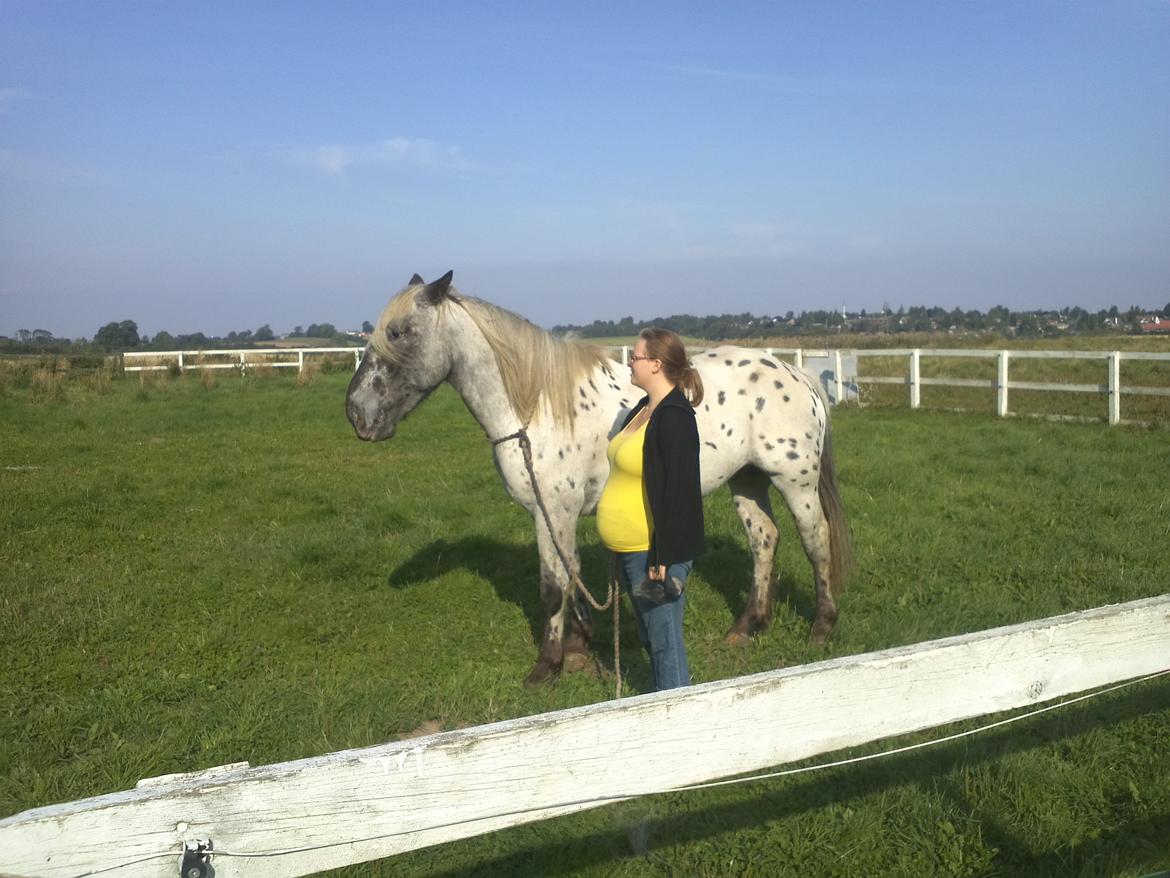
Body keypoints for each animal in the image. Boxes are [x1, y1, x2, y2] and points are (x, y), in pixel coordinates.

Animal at [341, 271, 856, 693]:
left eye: (399, 332)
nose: (357, 415)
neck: (535, 407)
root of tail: (794, 372)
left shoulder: (555, 510)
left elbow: (552, 587)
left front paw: (546, 667)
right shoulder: (555, 514)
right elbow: (571, 578)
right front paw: (578, 649)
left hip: (794, 481)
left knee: (816, 540)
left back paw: (821, 627)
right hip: (748, 481)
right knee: (764, 540)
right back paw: (748, 627)